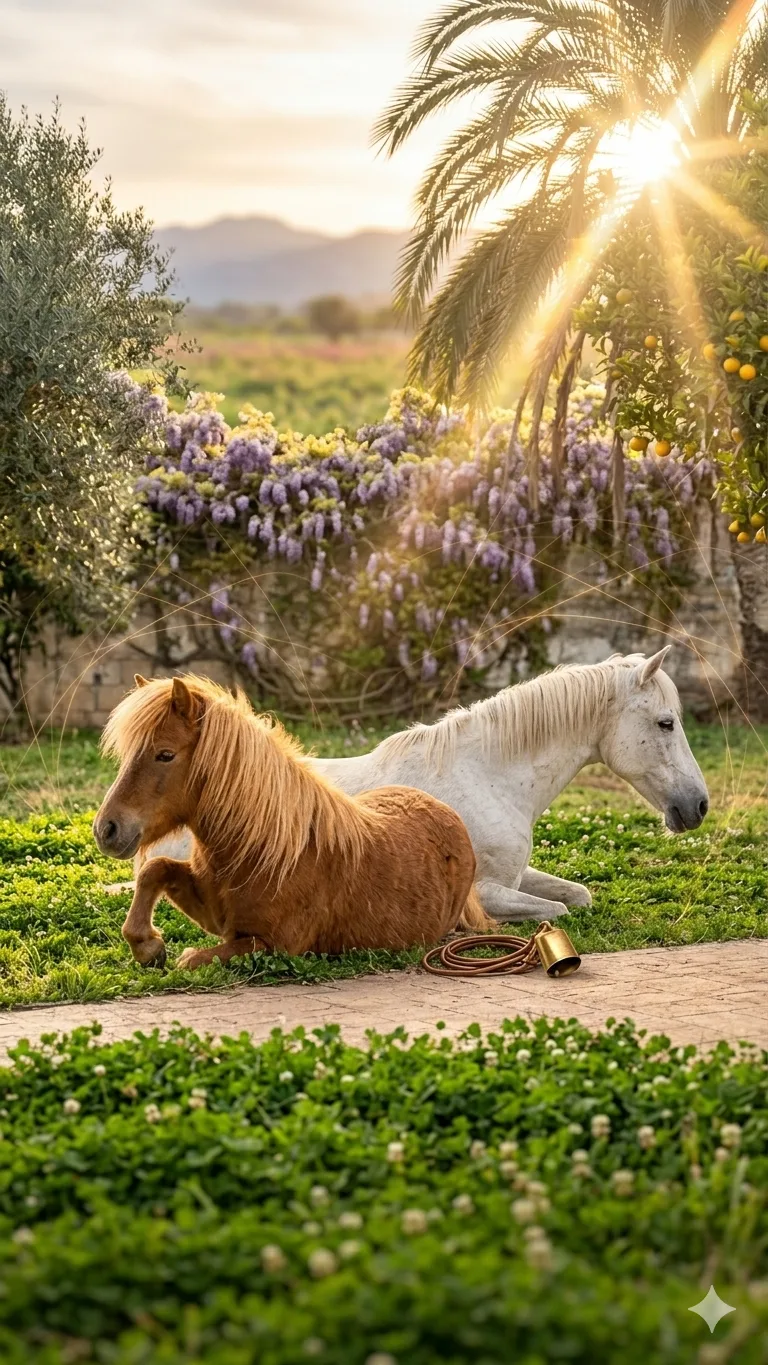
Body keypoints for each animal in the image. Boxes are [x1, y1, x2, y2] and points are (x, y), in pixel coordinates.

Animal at [93, 675, 488, 971]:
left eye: (165, 754)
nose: (106, 830)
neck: (263, 849)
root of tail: (445, 811)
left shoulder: (271, 944)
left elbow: (191, 959)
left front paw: (156, 949)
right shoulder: (215, 916)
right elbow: (155, 869)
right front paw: (148, 947)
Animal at [135, 649, 709, 924]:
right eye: (666, 723)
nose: (698, 806)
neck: (487, 775)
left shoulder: (515, 874)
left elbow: (578, 895)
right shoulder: (486, 890)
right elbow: (558, 911)